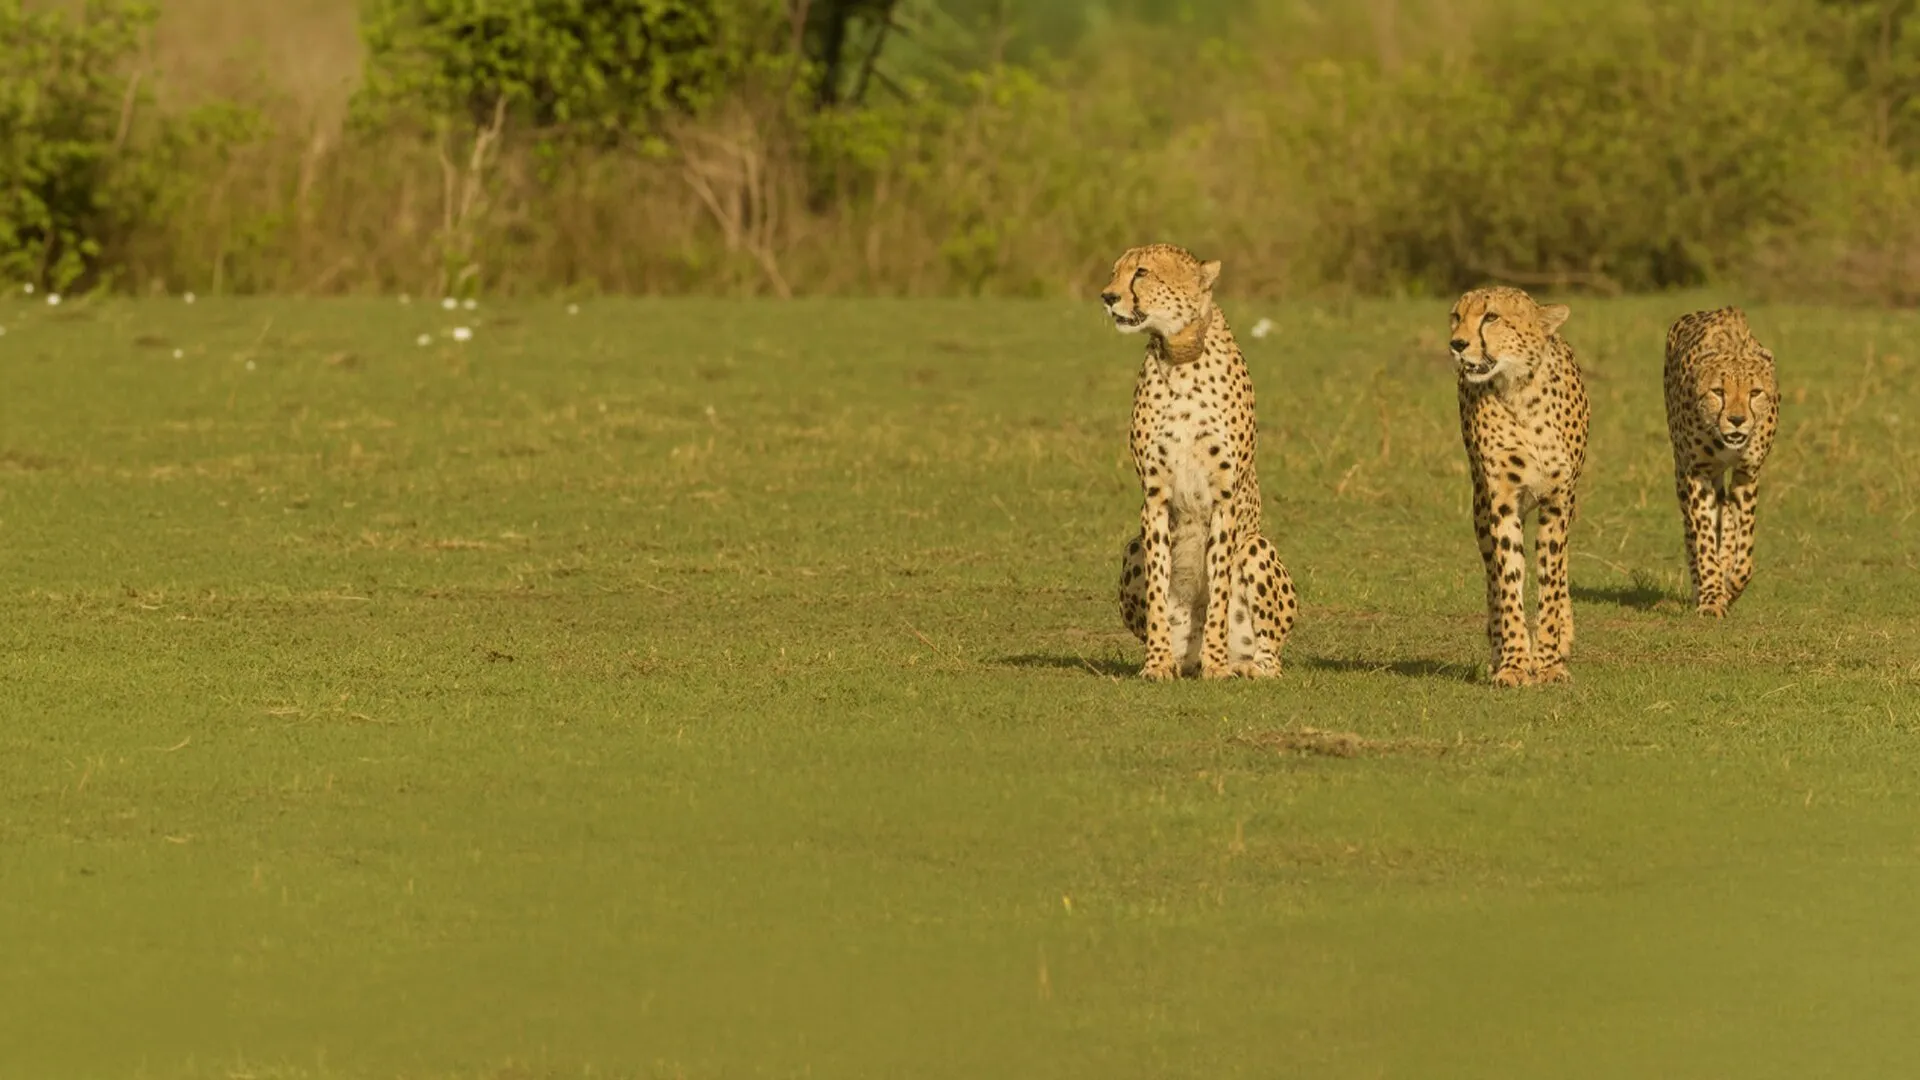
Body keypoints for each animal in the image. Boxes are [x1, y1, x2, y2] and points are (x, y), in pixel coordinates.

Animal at [1104, 244, 1296, 680]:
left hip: (1256, 545)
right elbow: (1158, 584)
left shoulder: (1224, 496)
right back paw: (1180, 658)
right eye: (1115, 271)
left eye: (1141, 273)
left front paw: (1216, 663)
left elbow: (1219, 584)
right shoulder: (1155, 496)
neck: (1180, 360)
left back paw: (1243, 666)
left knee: (1271, 657)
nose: (1107, 297)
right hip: (1132, 547)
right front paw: (1157, 662)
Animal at [1448, 286, 1591, 687]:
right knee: (1492, 577)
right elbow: (1509, 579)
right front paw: (1513, 662)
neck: (1519, 391)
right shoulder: (1502, 502)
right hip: (1481, 509)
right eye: (1456, 316)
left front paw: (1549, 661)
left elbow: (1551, 581)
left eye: (1491, 317)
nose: (1457, 344)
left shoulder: (1557, 503)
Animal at [1663, 307, 1780, 617]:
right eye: (1718, 392)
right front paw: (1712, 596)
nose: (1737, 420)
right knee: (1692, 530)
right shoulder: (1698, 472)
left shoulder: (1747, 472)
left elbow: (1745, 546)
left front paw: (1732, 584)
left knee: (1725, 512)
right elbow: (1704, 538)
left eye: (1754, 392)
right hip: (1683, 471)